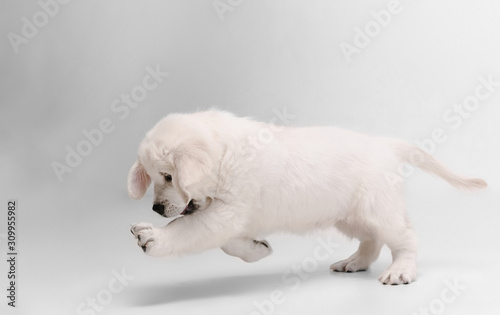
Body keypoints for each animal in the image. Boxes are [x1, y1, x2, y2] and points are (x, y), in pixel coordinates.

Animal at [127, 110, 486, 286]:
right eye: (154, 178)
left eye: (168, 176)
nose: (157, 208)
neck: (224, 155)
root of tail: (385, 144)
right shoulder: (227, 215)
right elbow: (228, 241)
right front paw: (257, 249)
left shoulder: (228, 211)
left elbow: (187, 230)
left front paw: (154, 238)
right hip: (349, 215)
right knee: (371, 241)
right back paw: (354, 262)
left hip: (378, 208)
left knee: (405, 238)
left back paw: (401, 271)